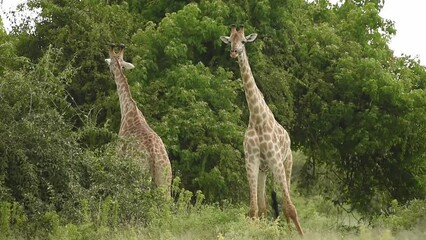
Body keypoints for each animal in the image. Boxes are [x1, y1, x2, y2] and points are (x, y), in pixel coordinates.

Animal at [105, 43, 172, 191]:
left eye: (109, 65)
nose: (111, 75)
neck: (128, 110)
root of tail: (153, 154)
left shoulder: (118, 158)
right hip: (165, 181)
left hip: (140, 176)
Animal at [221, 25, 304, 235]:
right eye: (230, 40)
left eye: (243, 41)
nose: (234, 52)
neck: (257, 119)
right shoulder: (251, 160)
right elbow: (254, 209)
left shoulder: (275, 160)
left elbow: (290, 208)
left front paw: (300, 235)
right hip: (263, 171)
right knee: (265, 207)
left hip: (286, 164)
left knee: (287, 203)